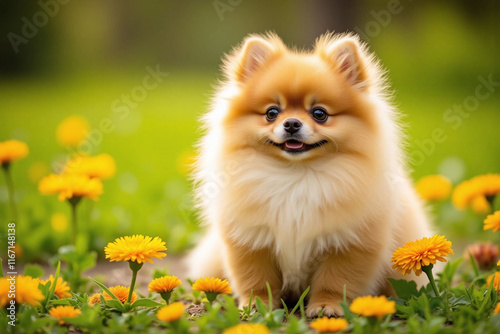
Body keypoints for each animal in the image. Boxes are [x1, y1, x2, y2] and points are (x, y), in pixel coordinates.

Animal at [188, 32, 434, 318]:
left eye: (320, 114)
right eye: (271, 113)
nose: (292, 123)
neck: (296, 176)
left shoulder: (348, 243)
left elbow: (335, 281)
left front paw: (327, 307)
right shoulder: (252, 242)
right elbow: (256, 280)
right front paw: (257, 305)